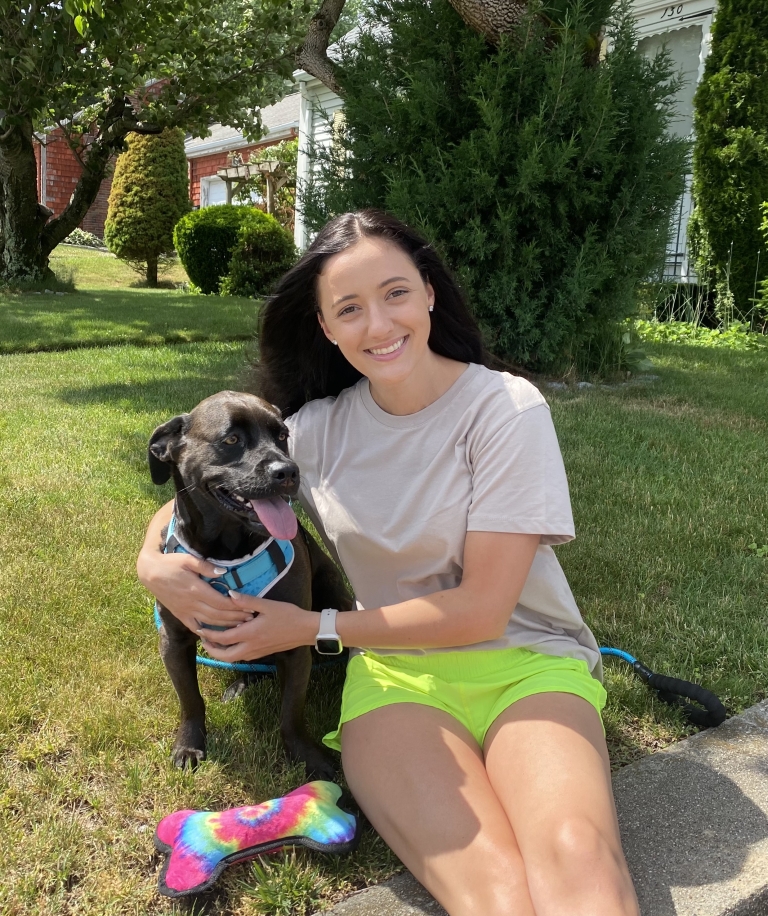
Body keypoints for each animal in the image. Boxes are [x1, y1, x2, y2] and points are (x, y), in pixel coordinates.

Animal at [146, 390, 352, 776]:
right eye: (231, 440)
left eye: (283, 435)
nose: (288, 471)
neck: (227, 551)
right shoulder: (174, 640)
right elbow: (190, 700)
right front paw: (189, 744)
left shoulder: (294, 642)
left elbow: (291, 715)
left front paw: (308, 757)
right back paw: (241, 683)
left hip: (334, 592)